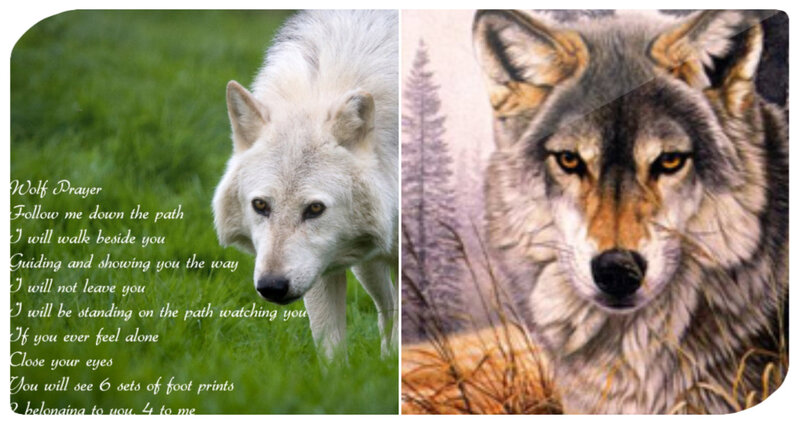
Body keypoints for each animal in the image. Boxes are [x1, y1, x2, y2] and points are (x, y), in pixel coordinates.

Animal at [213, 10, 398, 359]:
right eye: (260, 205)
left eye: (314, 209)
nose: (272, 286)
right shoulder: (321, 268)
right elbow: (331, 352)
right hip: (368, 266)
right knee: (388, 311)